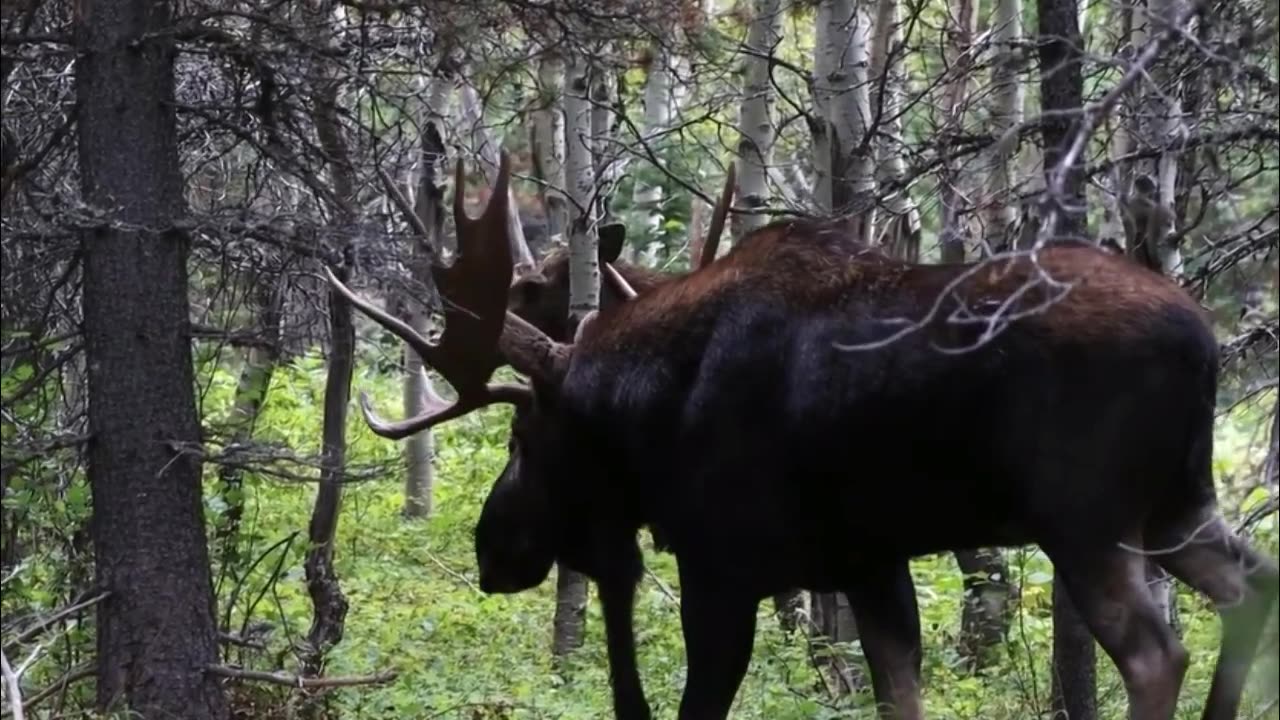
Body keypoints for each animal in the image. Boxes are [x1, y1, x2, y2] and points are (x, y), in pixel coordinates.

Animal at [330, 152, 1280, 717]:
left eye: (521, 439)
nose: (491, 551)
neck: (653, 407)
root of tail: (1205, 343)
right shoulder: (869, 561)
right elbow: (899, 691)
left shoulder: (725, 567)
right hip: (1180, 503)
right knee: (1254, 585)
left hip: (1084, 518)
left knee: (1157, 654)